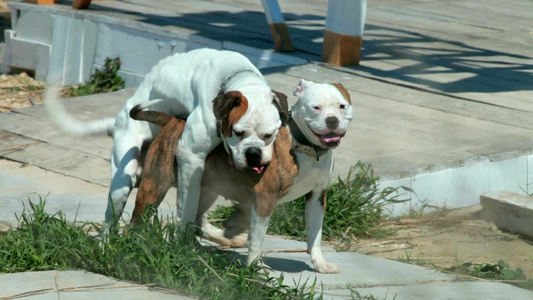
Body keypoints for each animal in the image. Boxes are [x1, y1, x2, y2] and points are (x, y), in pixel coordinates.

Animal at [130, 79, 352, 274]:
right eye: (316, 107)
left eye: (342, 106)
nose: (332, 120)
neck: (307, 149)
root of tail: (174, 120)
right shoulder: (265, 197)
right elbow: (257, 238)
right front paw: (256, 267)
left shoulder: (317, 197)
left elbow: (315, 234)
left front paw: (320, 263)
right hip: (155, 186)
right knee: (139, 219)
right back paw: (132, 246)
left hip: (206, 189)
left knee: (197, 218)